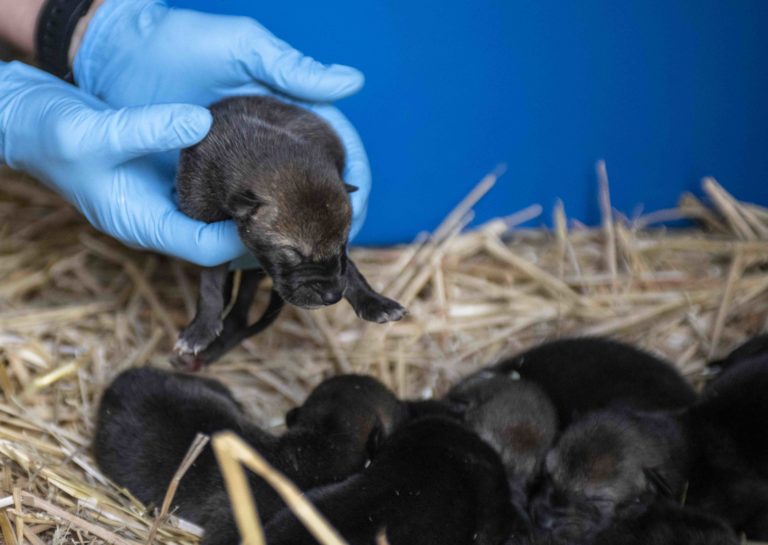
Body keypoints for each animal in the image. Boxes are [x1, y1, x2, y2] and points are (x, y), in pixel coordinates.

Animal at [172, 96, 402, 370]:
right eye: (294, 252)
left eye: (344, 243)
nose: (333, 295)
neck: (259, 150)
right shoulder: (205, 230)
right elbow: (210, 284)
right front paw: (201, 329)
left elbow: (350, 270)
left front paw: (374, 302)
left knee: (239, 317)